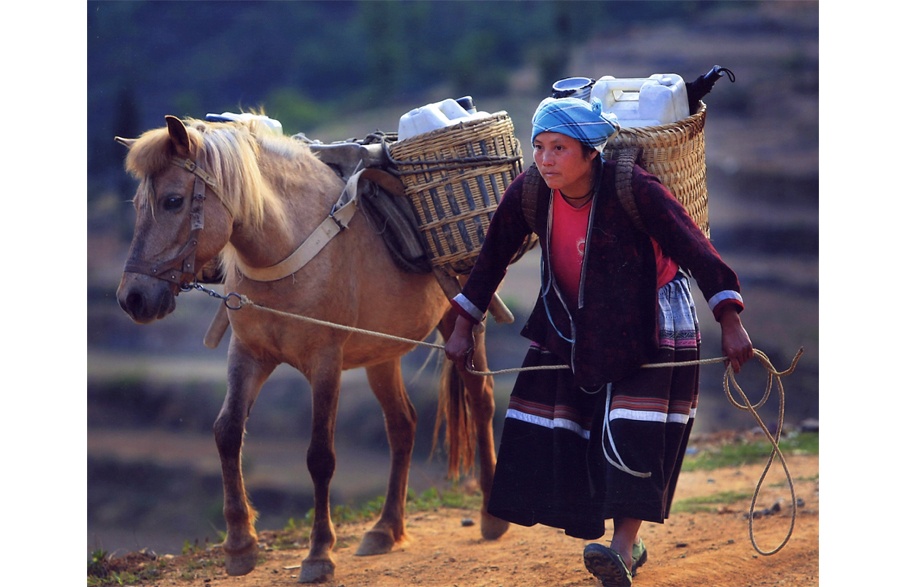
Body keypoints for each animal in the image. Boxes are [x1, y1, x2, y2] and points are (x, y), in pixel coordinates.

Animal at [113, 115, 510, 584]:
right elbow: (227, 432)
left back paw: (490, 515)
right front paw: (240, 544)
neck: (284, 246)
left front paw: (319, 553)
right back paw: (386, 529)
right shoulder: (248, 354)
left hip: (462, 325)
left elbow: (320, 456)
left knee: (481, 401)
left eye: (173, 201)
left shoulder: (325, 363)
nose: (133, 298)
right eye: (138, 205)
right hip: (381, 352)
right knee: (403, 425)